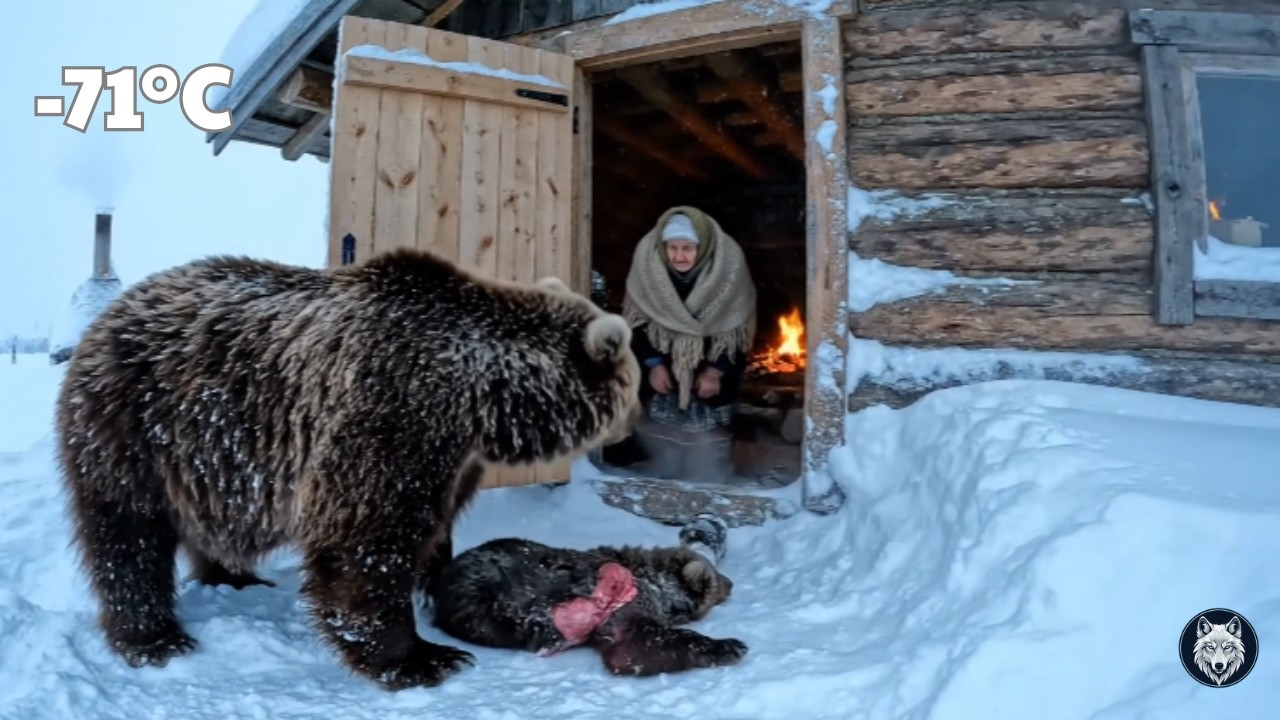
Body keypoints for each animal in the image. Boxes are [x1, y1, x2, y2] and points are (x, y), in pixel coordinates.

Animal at [53, 246, 642, 691]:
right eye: (634, 381)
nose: (633, 427)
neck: (480, 396)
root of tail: (111, 312)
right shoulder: (391, 412)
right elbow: (365, 543)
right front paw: (422, 658)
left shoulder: (453, 455)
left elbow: (433, 524)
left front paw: (434, 584)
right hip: (138, 423)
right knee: (128, 536)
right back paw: (155, 637)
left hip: (210, 457)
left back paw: (234, 577)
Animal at [427, 537, 747, 677]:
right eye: (716, 575)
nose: (731, 582)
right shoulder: (624, 610)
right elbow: (635, 646)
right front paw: (728, 645)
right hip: (481, 595)